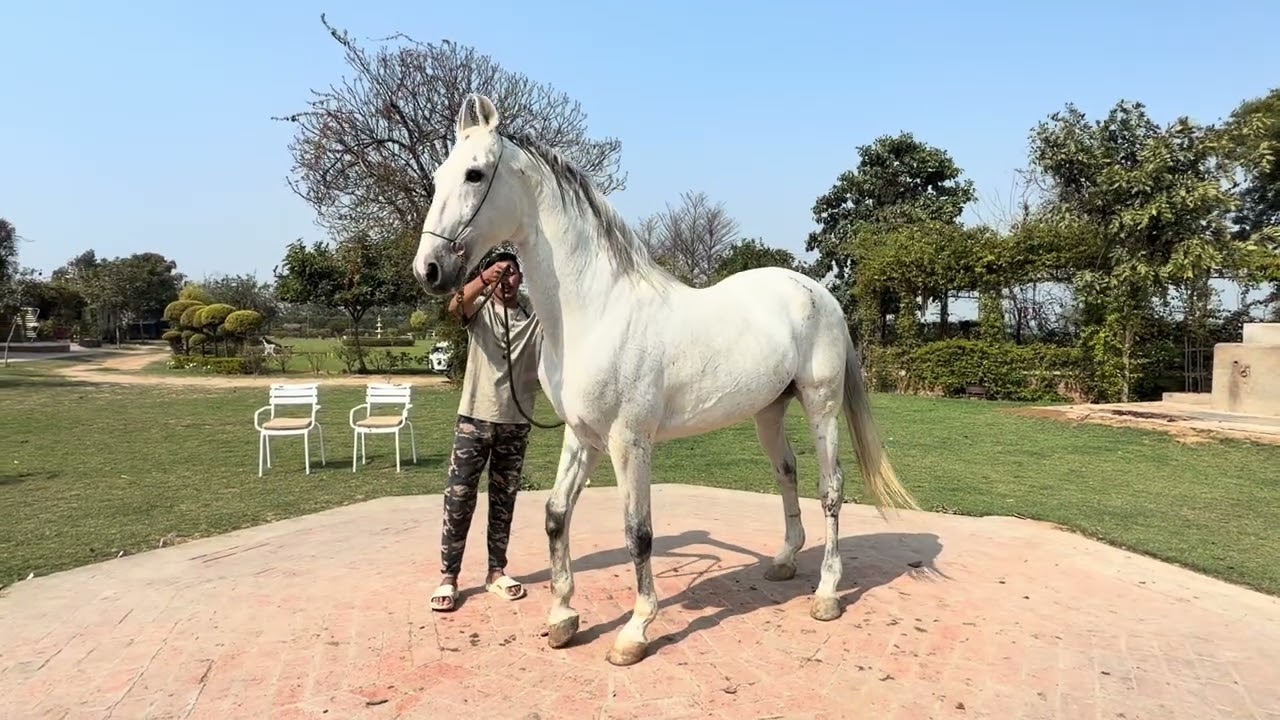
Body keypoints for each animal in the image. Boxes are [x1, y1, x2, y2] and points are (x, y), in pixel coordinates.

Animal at [412, 94, 919, 667]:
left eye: (474, 174)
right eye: (439, 175)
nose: (429, 270)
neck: (596, 309)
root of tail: (820, 293)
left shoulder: (628, 442)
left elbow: (639, 533)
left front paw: (635, 632)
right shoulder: (582, 437)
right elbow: (556, 514)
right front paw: (562, 618)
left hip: (821, 406)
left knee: (830, 489)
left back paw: (827, 594)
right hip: (769, 411)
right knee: (786, 473)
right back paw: (785, 560)